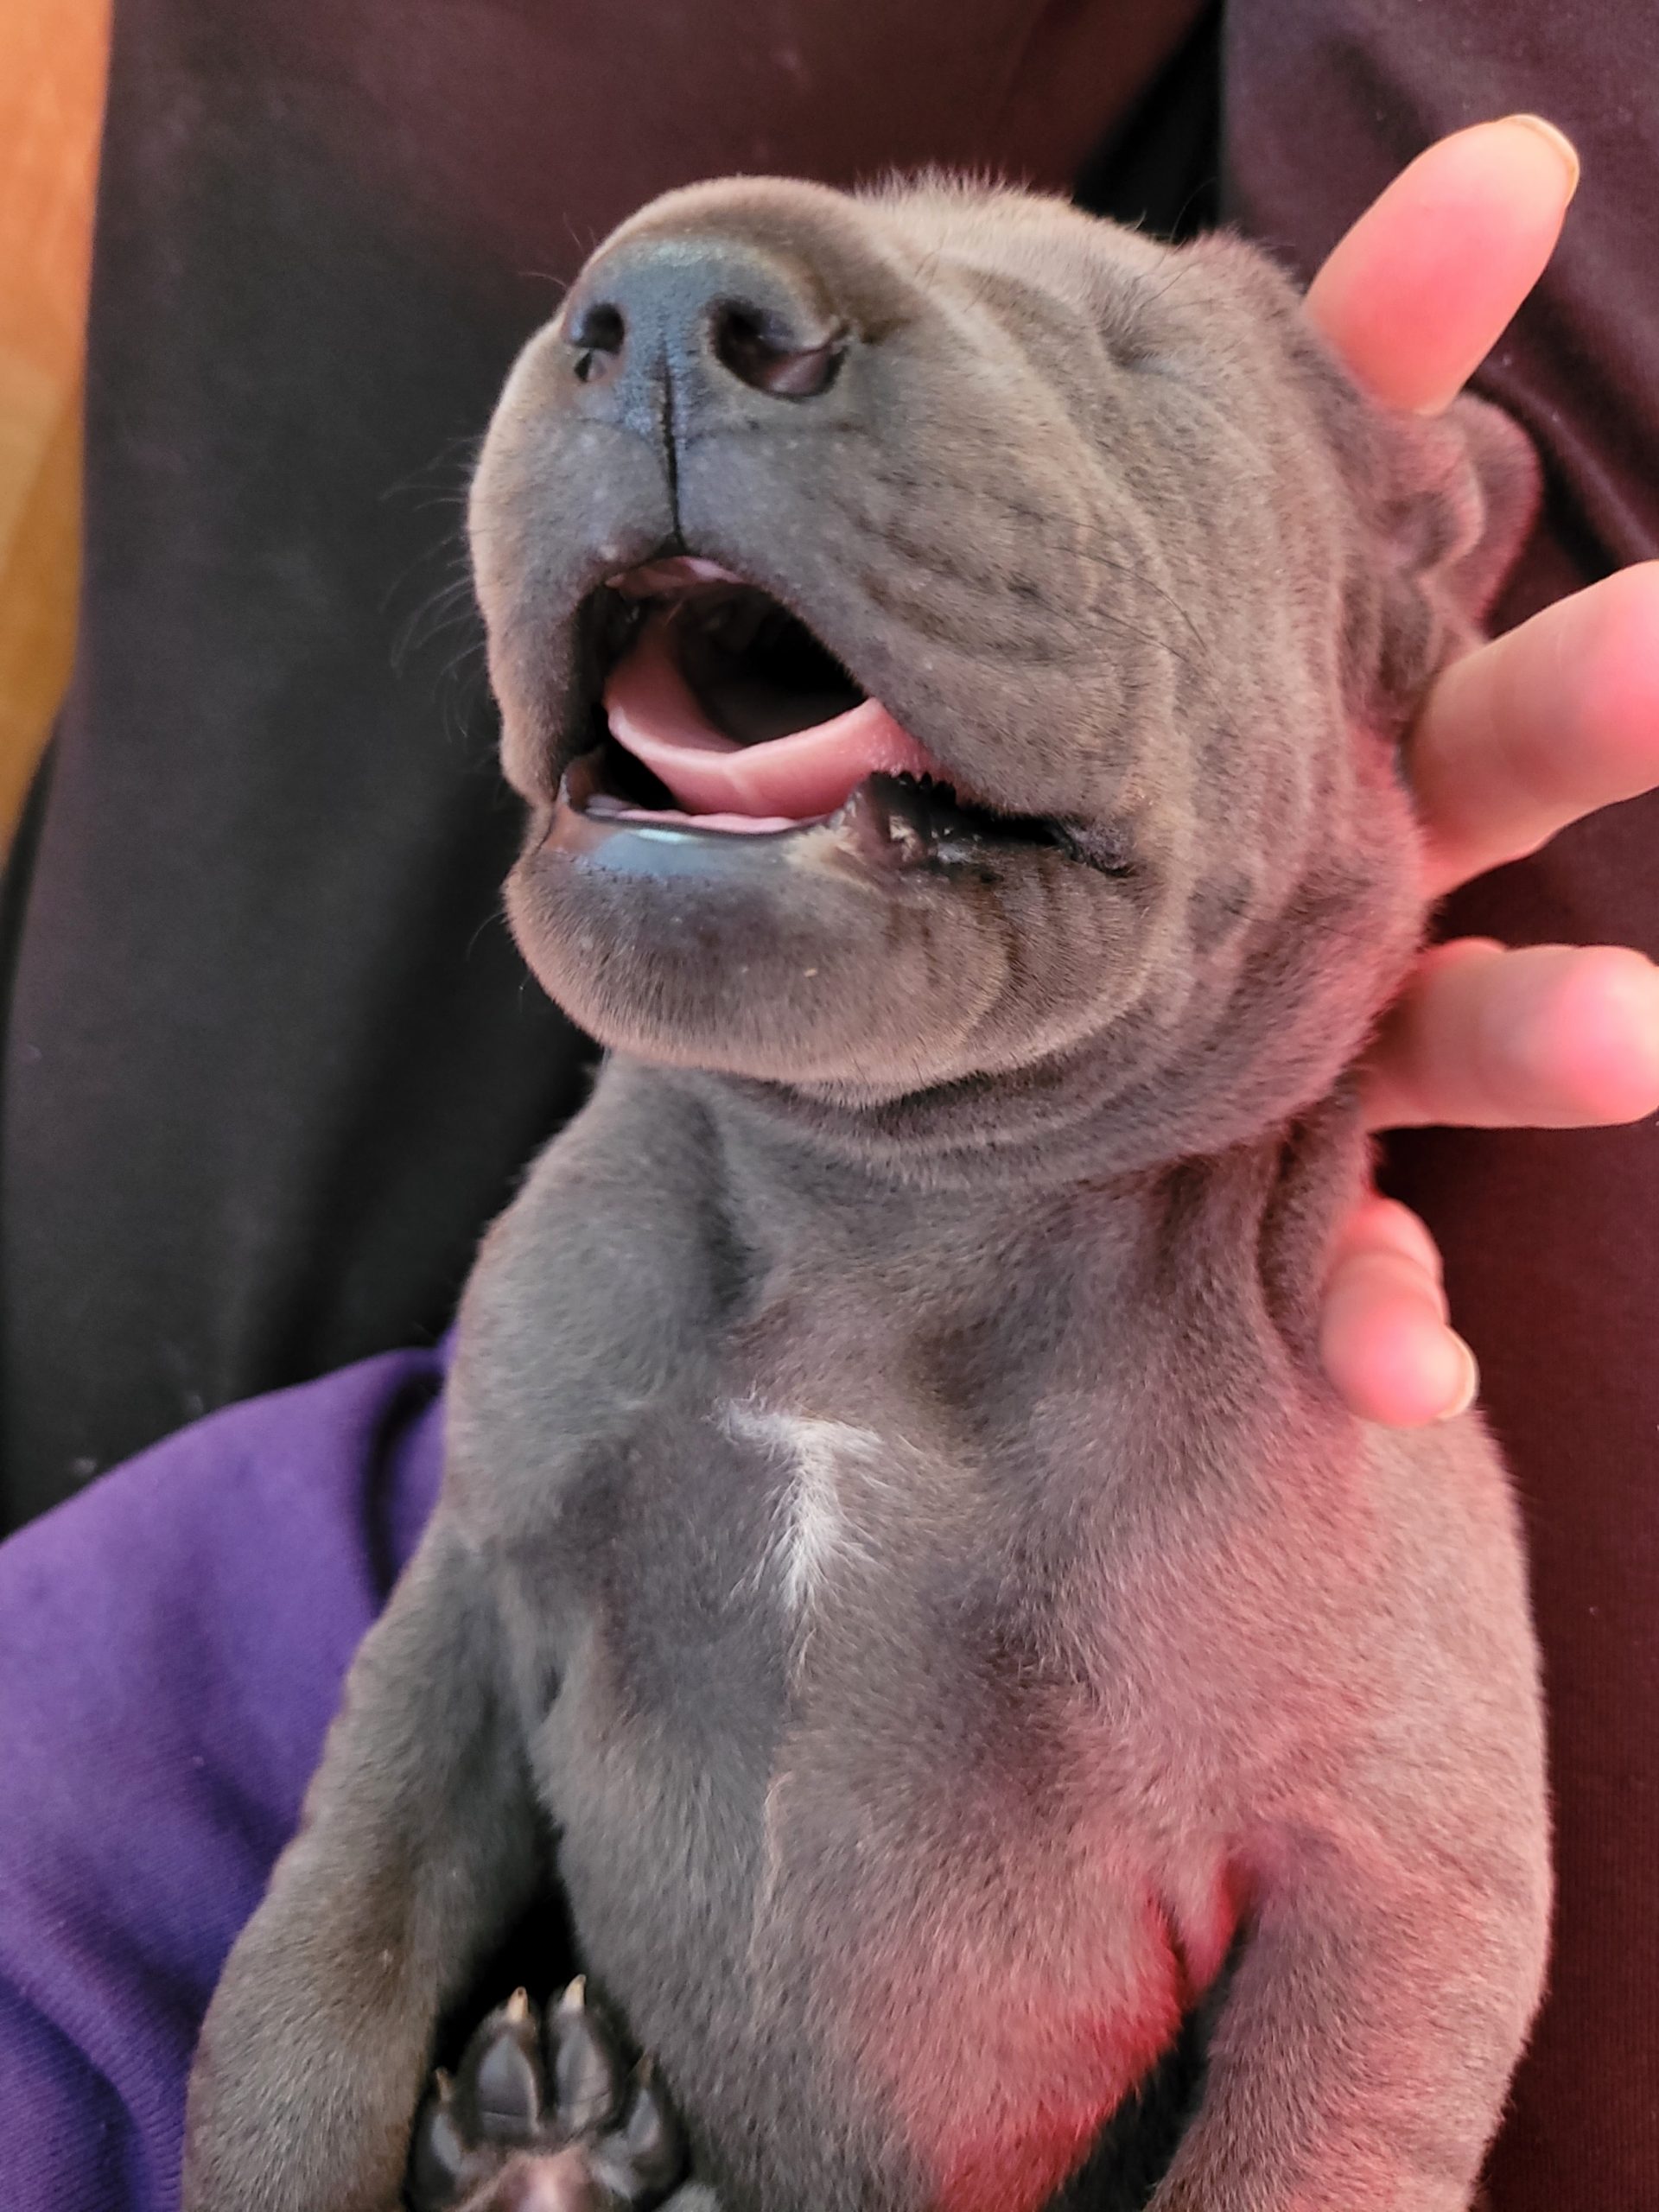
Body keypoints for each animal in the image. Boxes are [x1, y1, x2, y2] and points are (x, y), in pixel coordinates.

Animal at [183, 175, 1550, 2212]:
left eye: (1128, 359)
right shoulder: (459, 1612)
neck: (874, 1223)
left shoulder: (1397, 1888)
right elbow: (308, 1980)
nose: (674, 300)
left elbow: (1292, 2155)